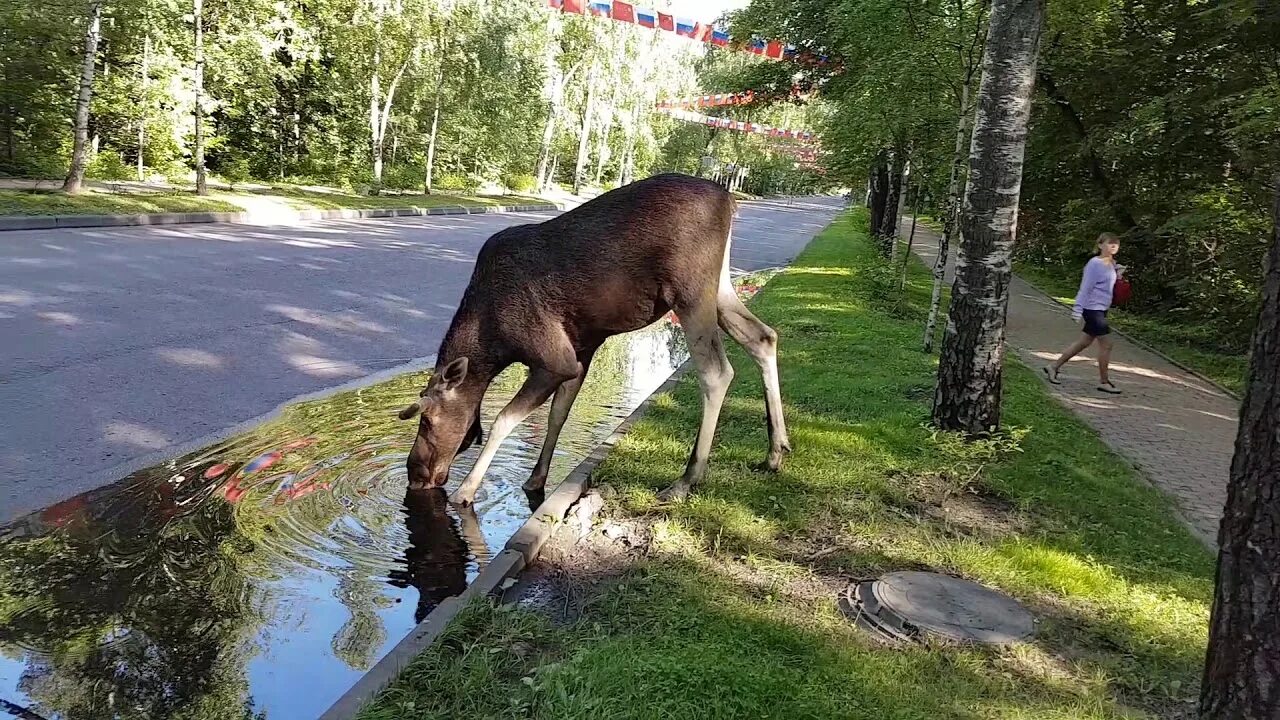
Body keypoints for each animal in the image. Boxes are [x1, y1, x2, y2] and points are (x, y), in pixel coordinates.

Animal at [396, 172, 788, 504]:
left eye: (427, 420)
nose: (415, 474)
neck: (492, 341)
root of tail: (730, 201)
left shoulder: (553, 358)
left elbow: (503, 420)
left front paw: (466, 491)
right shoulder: (581, 350)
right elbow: (558, 414)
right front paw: (536, 479)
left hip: (689, 291)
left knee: (717, 372)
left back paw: (686, 479)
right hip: (718, 287)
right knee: (763, 336)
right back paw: (775, 450)